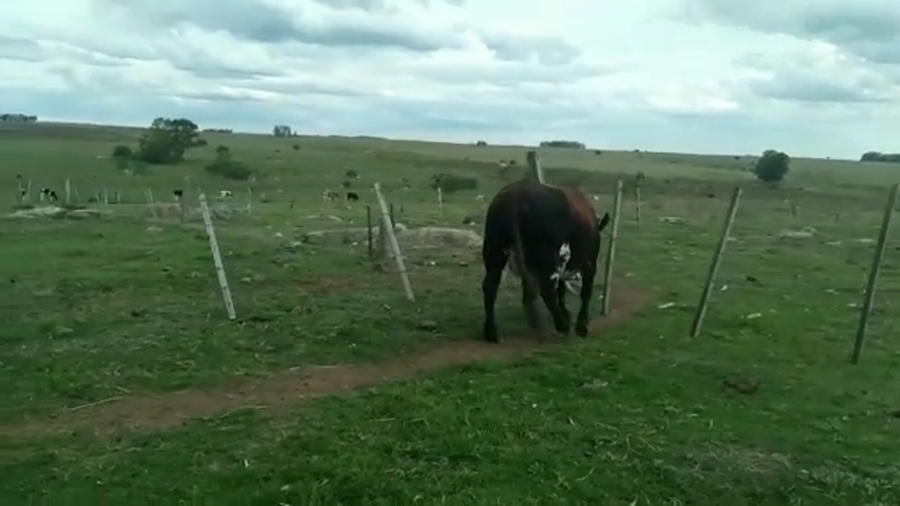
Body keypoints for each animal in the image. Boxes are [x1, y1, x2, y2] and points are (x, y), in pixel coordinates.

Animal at [480, 179, 611, 343]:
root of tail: (514, 195)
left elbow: (561, 289)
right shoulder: (589, 264)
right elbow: (585, 292)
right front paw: (581, 326)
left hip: (495, 251)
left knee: (490, 285)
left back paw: (491, 332)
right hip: (547, 258)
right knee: (547, 290)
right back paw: (562, 325)